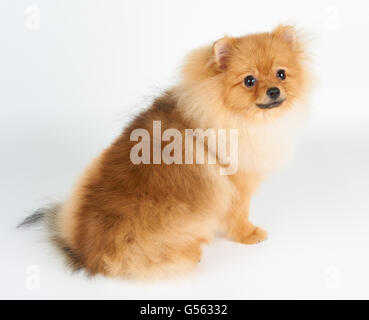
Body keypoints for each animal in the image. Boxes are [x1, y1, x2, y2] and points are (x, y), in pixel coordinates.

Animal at [20, 25, 310, 280]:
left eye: (281, 74)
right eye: (249, 81)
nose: (274, 90)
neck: (232, 116)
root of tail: (85, 253)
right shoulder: (235, 187)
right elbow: (239, 216)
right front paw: (250, 235)